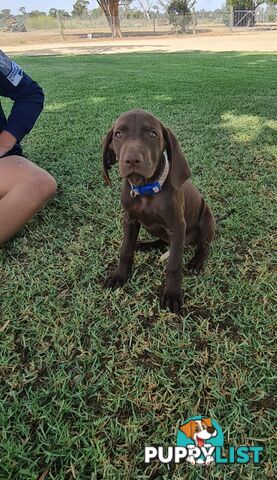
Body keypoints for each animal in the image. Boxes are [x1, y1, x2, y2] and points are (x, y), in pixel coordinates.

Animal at [101, 109, 213, 314]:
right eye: (118, 134)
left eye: (152, 134)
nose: (132, 159)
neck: (146, 189)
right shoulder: (130, 220)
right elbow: (126, 250)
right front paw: (120, 275)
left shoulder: (177, 226)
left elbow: (174, 264)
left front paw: (172, 294)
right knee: (162, 242)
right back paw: (145, 245)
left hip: (207, 219)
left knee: (203, 245)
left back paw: (197, 261)